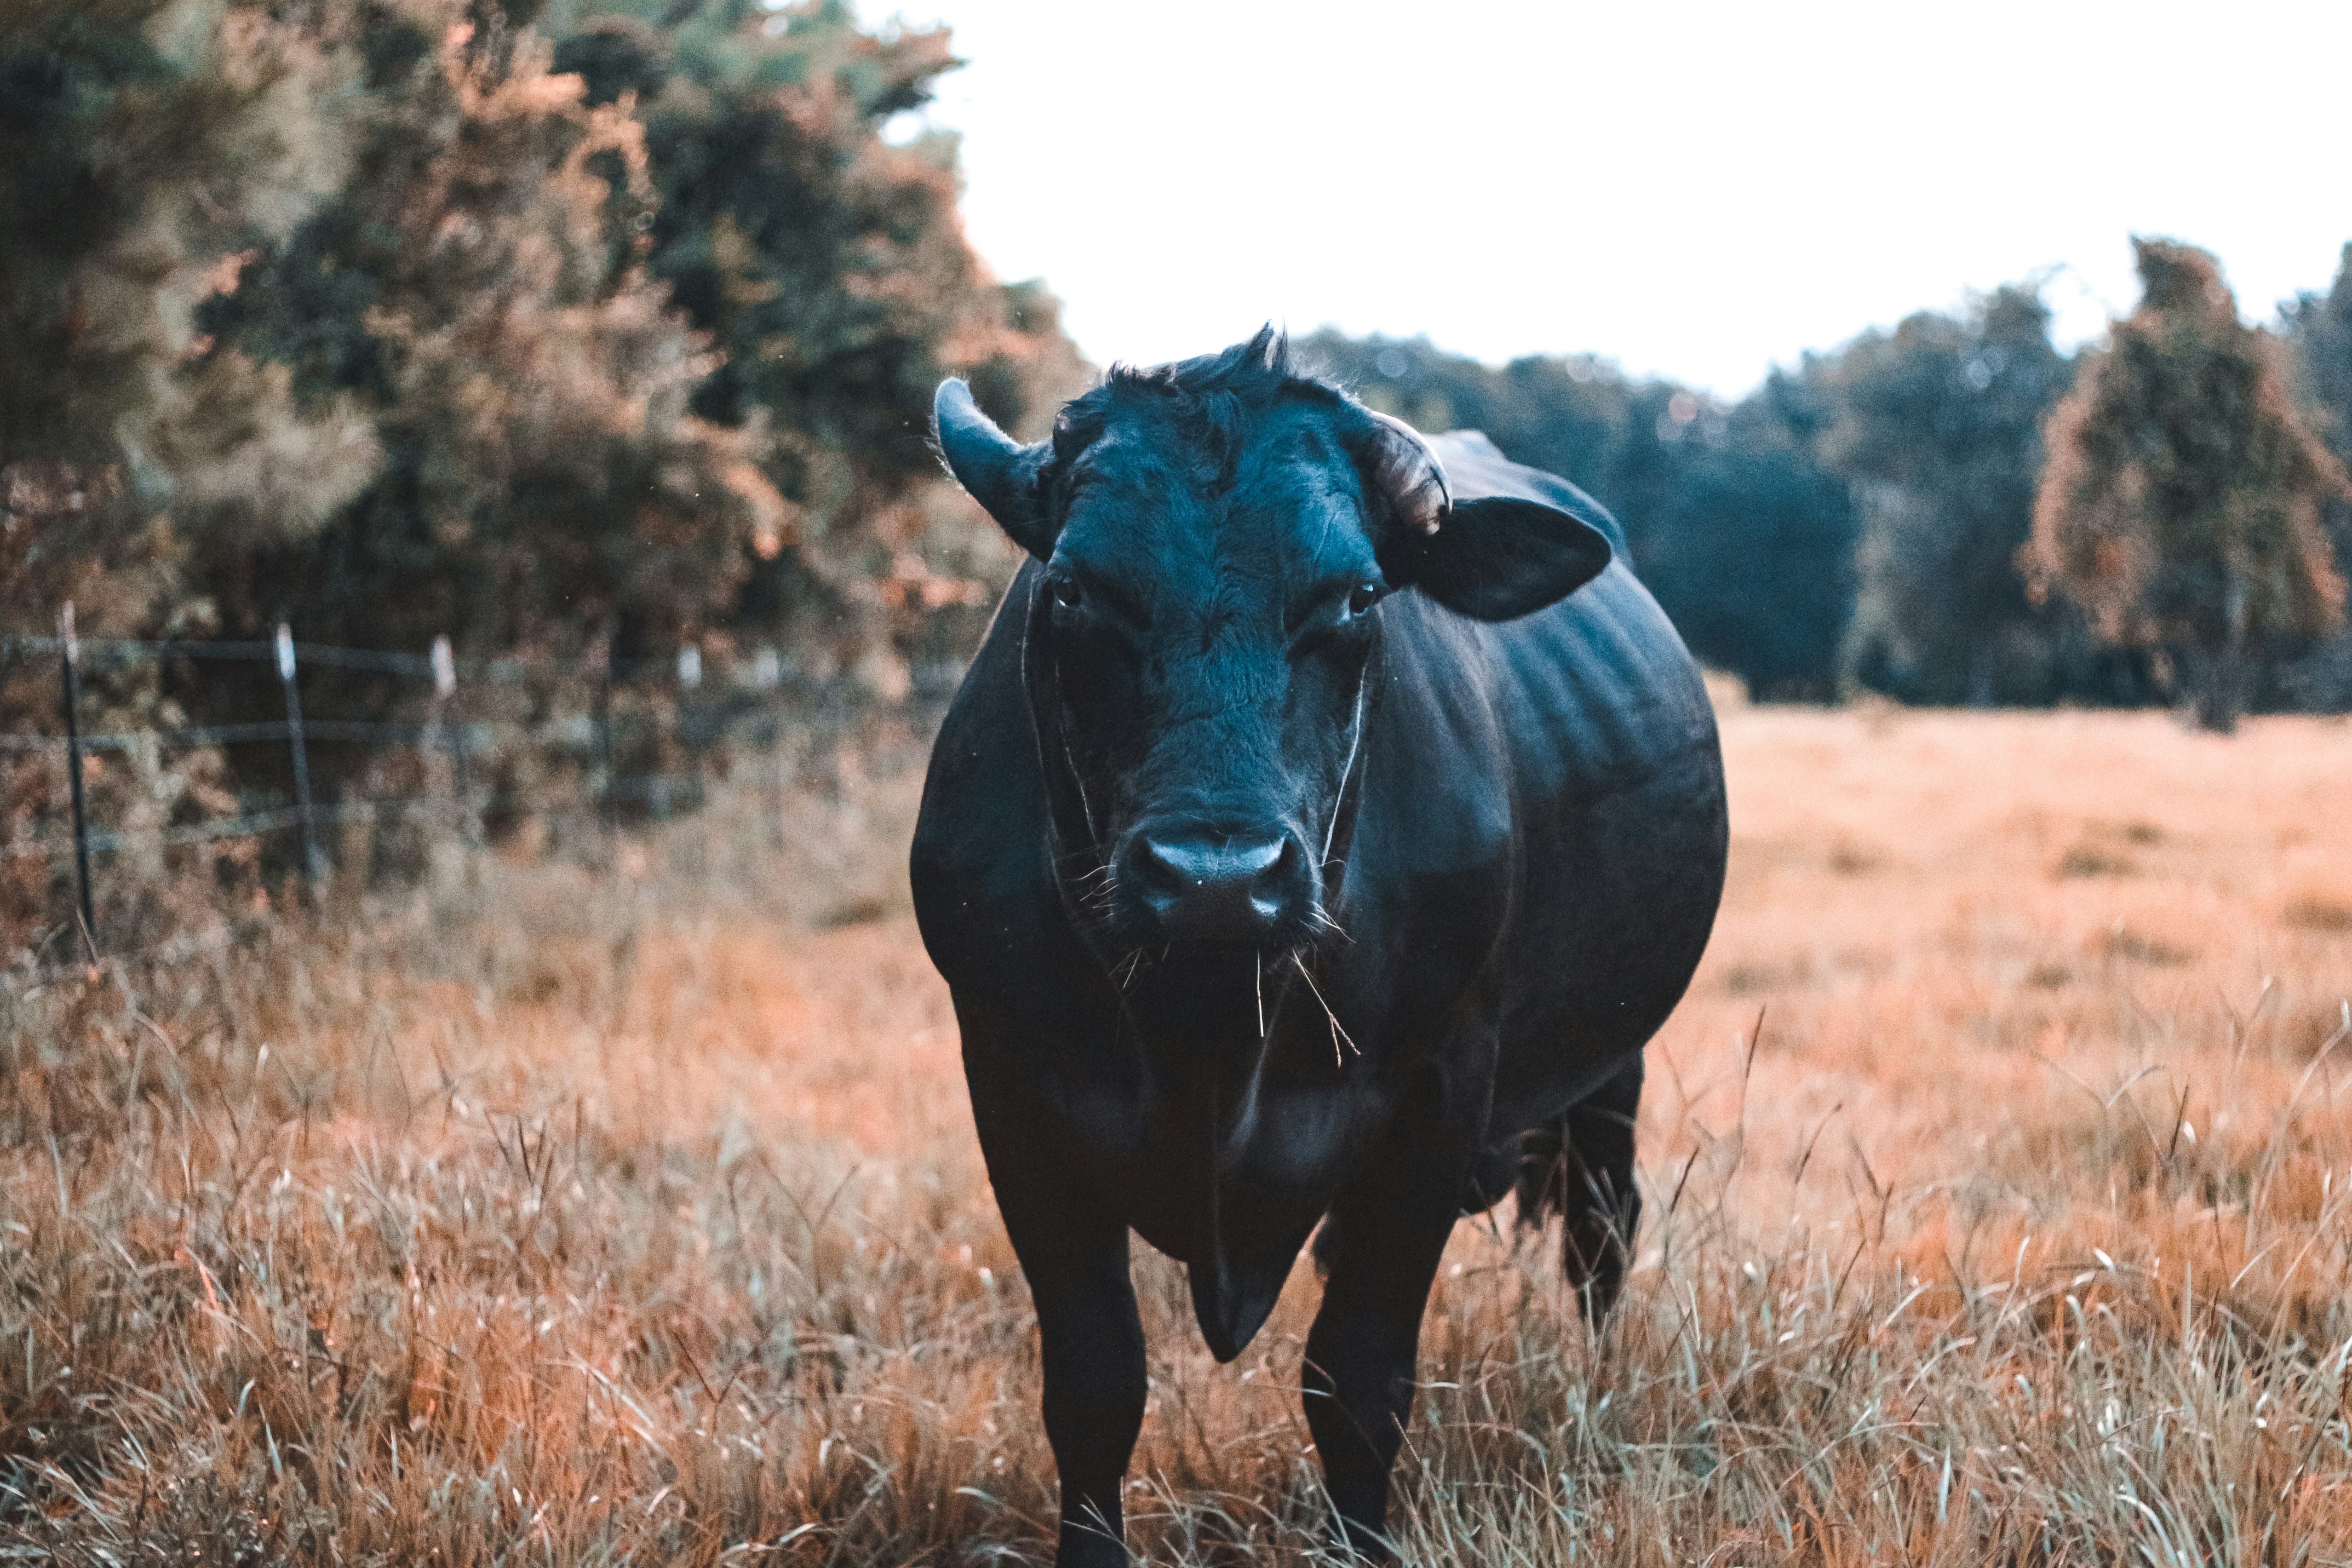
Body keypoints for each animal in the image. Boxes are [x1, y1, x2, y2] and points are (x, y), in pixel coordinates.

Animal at [908, 341, 1721, 1561]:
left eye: (1356, 597)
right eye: (1071, 590)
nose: (1214, 877)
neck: (1204, 1038)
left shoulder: (1438, 1091)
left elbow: (1357, 1383)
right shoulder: (1009, 1089)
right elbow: (1094, 1385)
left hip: (1607, 1067)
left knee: (1599, 1234)